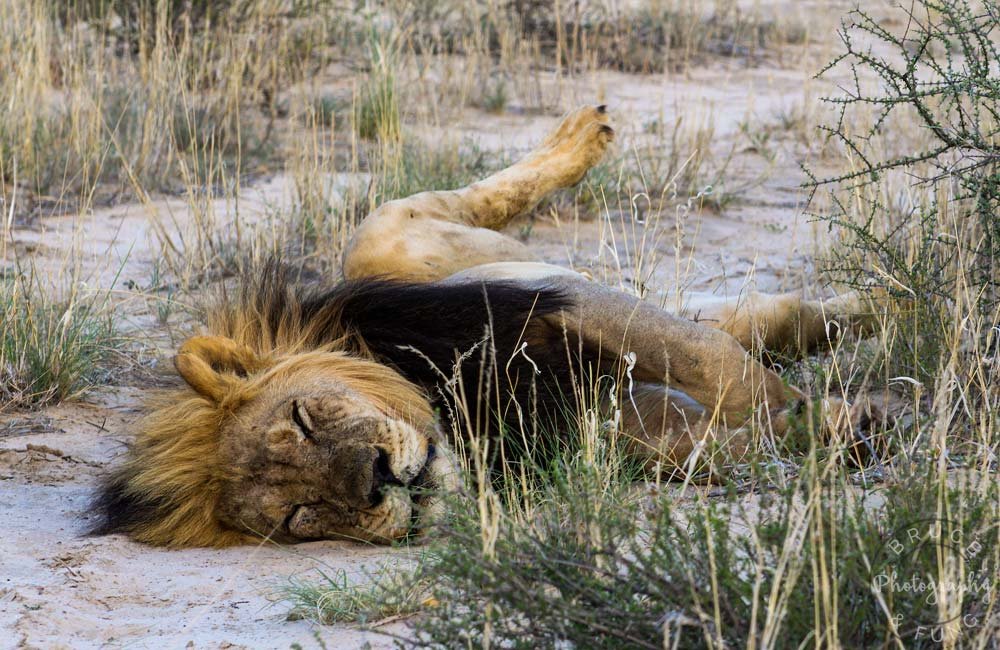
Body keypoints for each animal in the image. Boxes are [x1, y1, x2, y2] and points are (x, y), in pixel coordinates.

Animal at [90, 106, 880, 548]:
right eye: (298, 515)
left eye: (306, 419)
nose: (377, 481)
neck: (463, 414)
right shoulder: (614, 427)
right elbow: (722, 439)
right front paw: (830, 430)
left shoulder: (561, 306)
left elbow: (715, 365)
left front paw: (834, 419)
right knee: (769, 320)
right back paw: (870, 312)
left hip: (388, 244)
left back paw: (584, 134)